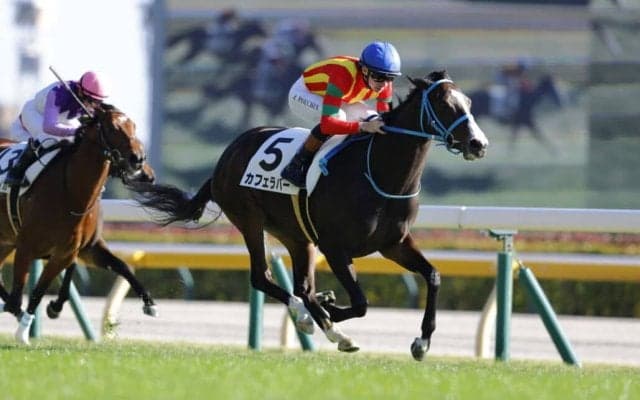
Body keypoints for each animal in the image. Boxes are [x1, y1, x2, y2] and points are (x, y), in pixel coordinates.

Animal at [0, 104, 158, 344]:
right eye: (112, 128)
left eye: (134, 126)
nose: (139, 161)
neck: (73, 193)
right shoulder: (27, 246)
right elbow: (23, 291)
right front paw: (23, 331)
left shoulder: (75, 250)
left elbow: (122, 265)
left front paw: (149, 303)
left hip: (6, 242)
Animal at [131, 71, 489, 361]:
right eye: (444, 104)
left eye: (469, 102)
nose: (478, 143)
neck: (380, 172)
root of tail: (227, 155)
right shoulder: (335, 247)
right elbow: (361, 303)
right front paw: (330, 310)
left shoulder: (394, 244)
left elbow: (433, 276)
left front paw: (422, 342)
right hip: (250, 220)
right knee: (262, 277)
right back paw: (316, 322)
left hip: (297, 236)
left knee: (301, 286)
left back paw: (318, 317)